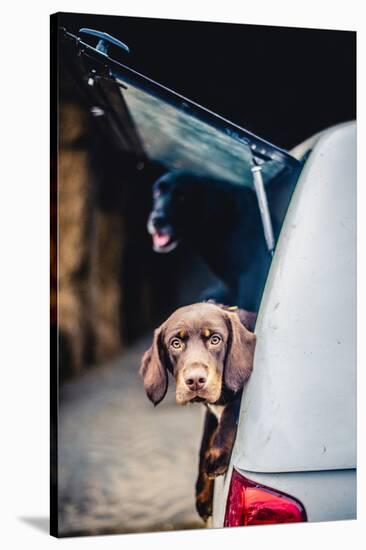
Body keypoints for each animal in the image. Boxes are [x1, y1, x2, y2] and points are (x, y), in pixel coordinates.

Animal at [140, 302, 258, 520]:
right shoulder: (210, 412)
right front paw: (202, 496)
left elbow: (232, 410)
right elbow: (204, 443)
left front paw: (217, 456)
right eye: (175, 343)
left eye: (215, 339)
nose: (195, 380)